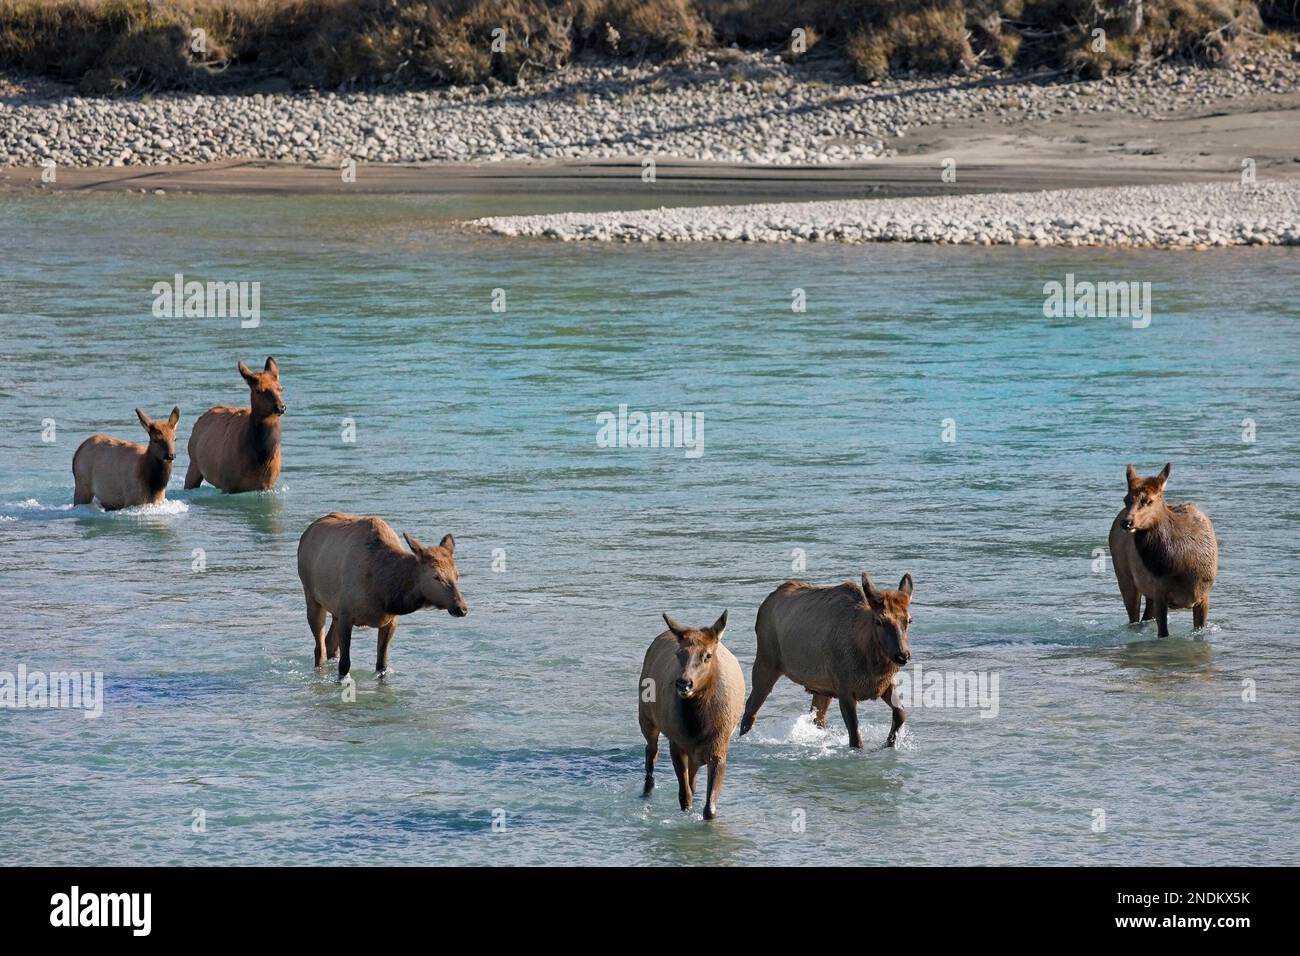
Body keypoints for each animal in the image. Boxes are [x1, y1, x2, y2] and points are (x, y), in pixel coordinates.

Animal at [183, 356, 282, 494]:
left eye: (280, 388)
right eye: (258, 390)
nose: (280, 407)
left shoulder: (268, 485)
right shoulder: (228, 484)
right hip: (193, 463)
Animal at [297, 515, 470, 681]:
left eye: (457, 575)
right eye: (436, 576)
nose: (461, 608)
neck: (384, 593)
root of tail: (307, 532)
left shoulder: (390, 620)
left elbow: (382, 666)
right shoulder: (346, 615)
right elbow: (344, 666)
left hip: (334, 610)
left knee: (330, 644)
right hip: (312, 597)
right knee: (319, 649)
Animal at [637, 613, 743, 822]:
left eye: (707, 655)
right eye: (679, 654)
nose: (684, 683)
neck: (697, 726)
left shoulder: (719, 749)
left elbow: (709, 808)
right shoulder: (677, 744)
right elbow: (684, 797)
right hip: (646, 716)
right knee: (651, 751)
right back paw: (646, 791)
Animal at [743, 572, 915, 749]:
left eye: (909, 620)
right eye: (879, 621)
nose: (902, 655)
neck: (871, 663)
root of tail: (765, 604)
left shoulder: (883, 684)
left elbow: (901, 713)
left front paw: (889, 742)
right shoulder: (844, 689)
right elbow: (855, 738)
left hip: (821, 688)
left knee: (818, 718)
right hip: (766, 662)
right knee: (749, 709)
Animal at [1107, 463, 1216, 634]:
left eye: (1148, 500)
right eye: (1125, 499)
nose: (1126, 523)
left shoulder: (1204, 596)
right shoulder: (1159, 593)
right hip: (1125, 578)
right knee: (1134, 618)